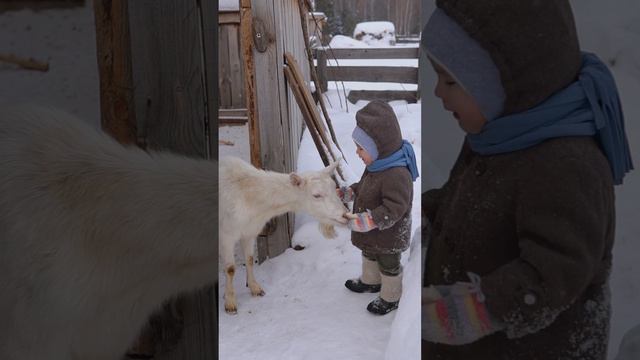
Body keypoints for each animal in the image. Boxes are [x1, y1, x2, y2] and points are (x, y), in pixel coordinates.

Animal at [220, 156, 350, 314]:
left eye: (334, 188)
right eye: (316, 195)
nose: (345, 215)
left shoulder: (250, 231)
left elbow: (249, 260)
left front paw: (255, 288)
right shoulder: (226, 234)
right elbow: (230, 269)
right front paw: (230, 302)